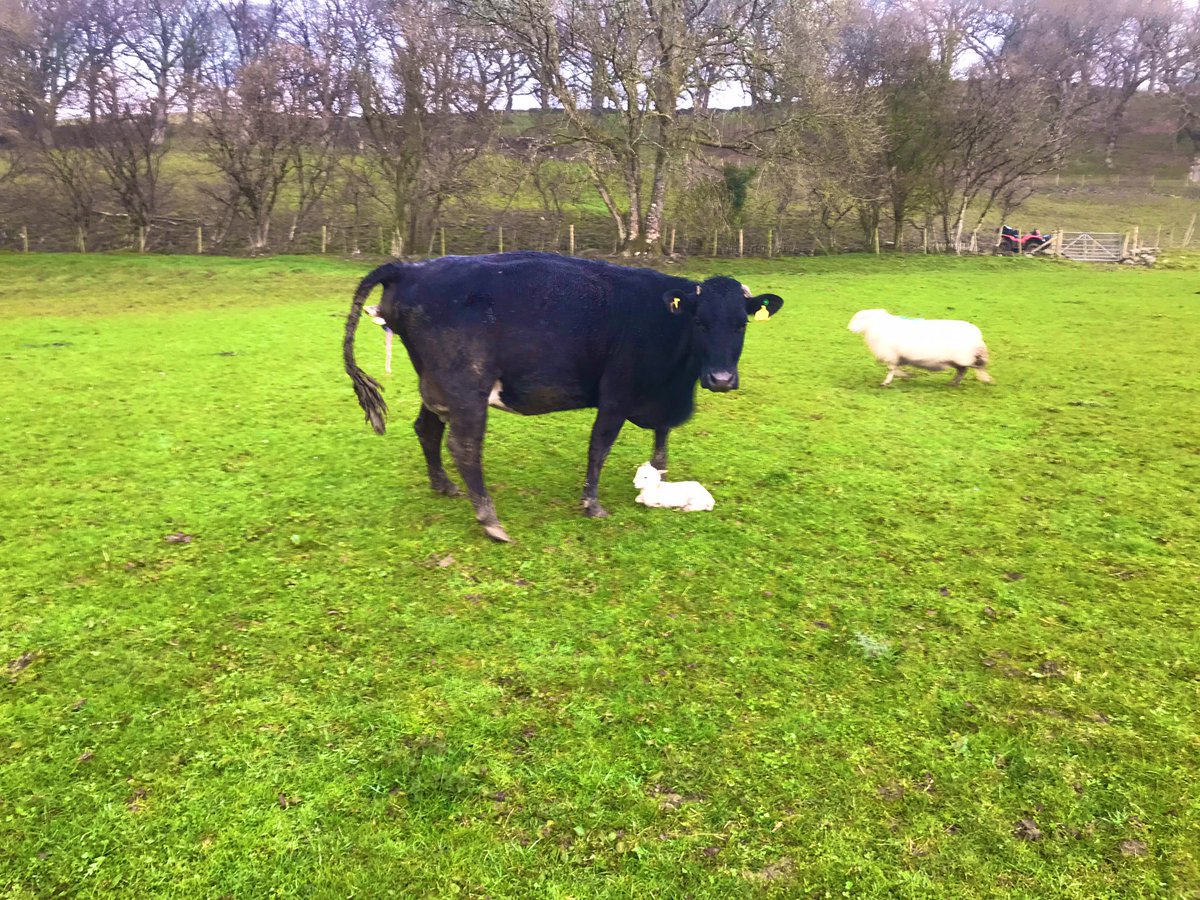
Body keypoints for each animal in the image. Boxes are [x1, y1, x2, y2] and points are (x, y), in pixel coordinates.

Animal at [847, 308, 994, 387]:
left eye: (860, 318)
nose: (849, 328)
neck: (876, 327)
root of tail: (977, 333)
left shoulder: (891, 355)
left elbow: (891, 370)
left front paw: (886, 382)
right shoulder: (897, 357)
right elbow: (896, 369)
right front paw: (906, 375)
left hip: (966, 356)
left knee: (979, 366)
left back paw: (985, 379)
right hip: (958, 359)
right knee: (963, 371)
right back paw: (953, 383)